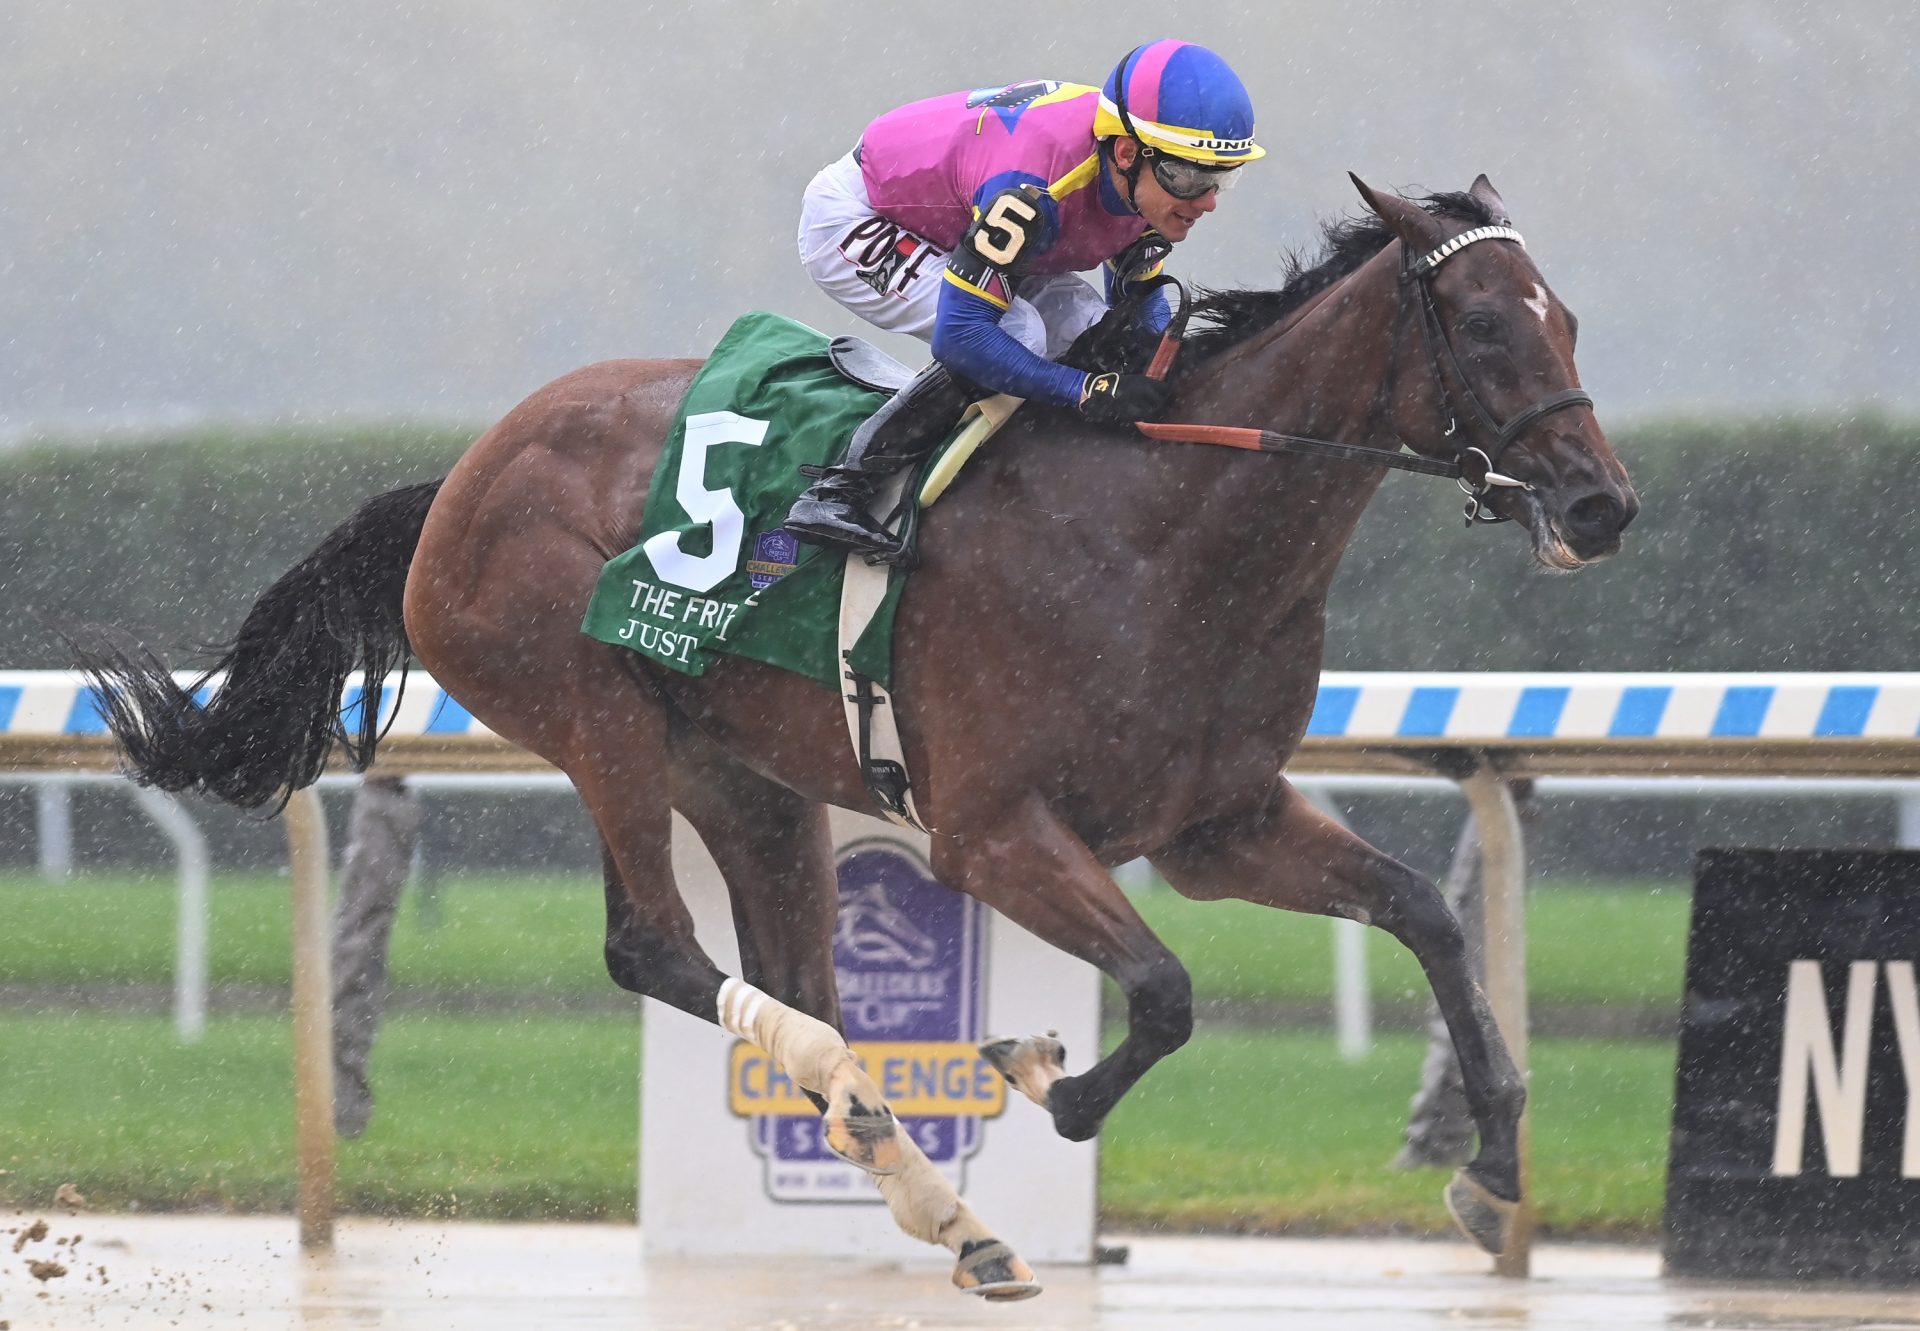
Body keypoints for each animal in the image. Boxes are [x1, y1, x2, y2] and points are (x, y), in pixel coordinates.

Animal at [74, 176, 1635, 1298]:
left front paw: (1495, 1157)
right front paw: (1048, 1081)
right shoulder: (994, 831)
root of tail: (461, 471)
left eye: (1568, 317)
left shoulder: (1220, 821)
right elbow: (1167, 990)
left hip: (744, 774)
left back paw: (935, 1196)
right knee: (655, 945)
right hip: (596, 714)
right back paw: (932, 1179)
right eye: (1485, 327)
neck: (1168, 527)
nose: (1602, 504)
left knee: (797, 984)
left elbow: (1426, 910)